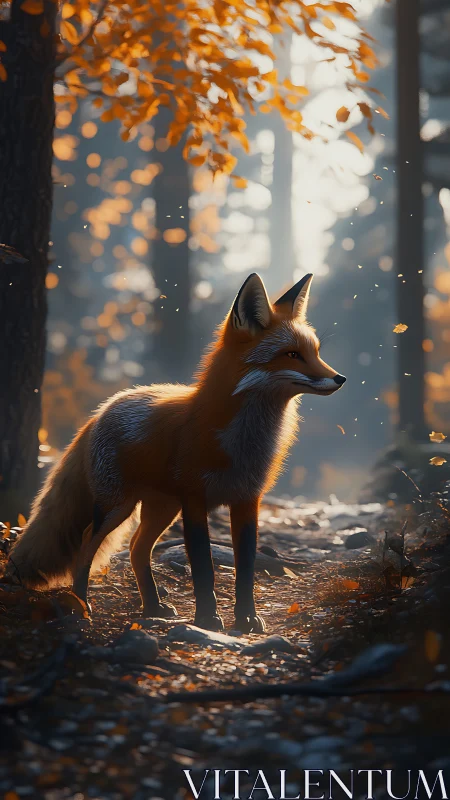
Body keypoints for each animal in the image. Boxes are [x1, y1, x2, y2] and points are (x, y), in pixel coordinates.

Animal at [7, 272, 345, 632]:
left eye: (315, 352)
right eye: (292, 354)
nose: (340, 378)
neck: (241, 442)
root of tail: (103, 409)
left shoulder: (247, 500)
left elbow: (245, 568)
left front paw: (247, 619)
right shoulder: (195, 500)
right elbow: (203, 568)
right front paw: (207, 619)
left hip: (162, 508)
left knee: (136, 549)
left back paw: (152, 607)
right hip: (118, 506)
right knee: (87, 544)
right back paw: (81, 605)